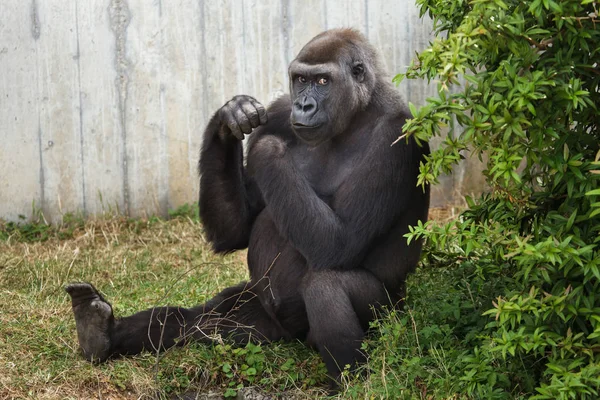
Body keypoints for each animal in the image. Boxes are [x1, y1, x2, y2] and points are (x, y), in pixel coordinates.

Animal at [65, 28, 428, 388]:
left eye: (323, 81)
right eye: (300, 79)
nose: (303, 105)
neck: (357, 113)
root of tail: (290, 337)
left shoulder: (395, 134)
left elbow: (341, 242)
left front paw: (269, 149)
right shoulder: (279, 111)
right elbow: (235, 230)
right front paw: (227, 121)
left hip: (388, 317)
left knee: (326, 286)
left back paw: (348, 383)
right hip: (261, 321)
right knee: (198, 320)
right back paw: (101, 333)